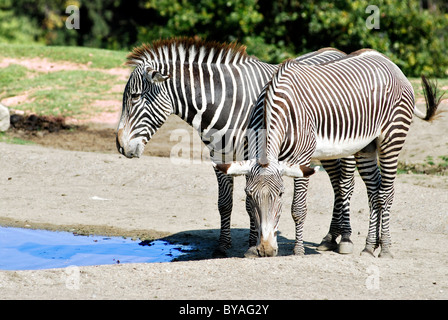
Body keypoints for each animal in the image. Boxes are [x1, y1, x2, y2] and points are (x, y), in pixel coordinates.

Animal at [215, 48, 442, 258]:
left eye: (280, 194)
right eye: (248, 194)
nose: (266, 250)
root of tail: (389, 62)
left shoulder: (302, 159)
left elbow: (298, 208)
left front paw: (298, 251)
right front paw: (252, 249)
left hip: (392, 138)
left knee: (386, 192)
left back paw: (384, 248)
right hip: (366, 146)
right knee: (374, 191)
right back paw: (370, 246)